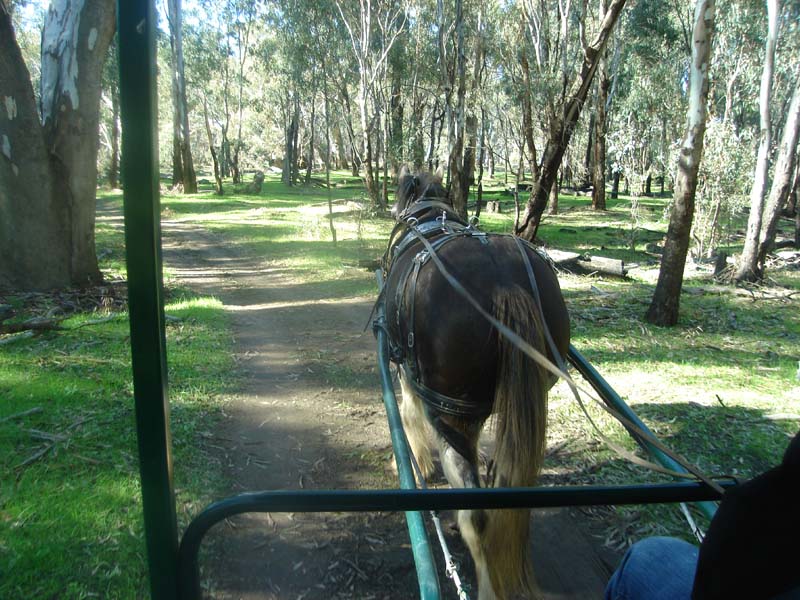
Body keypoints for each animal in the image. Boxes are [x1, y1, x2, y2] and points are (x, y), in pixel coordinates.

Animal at [381, 167, 571, 600]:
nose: (394, 214)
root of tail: (505, 284)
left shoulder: (408, 373)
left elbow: (407, 414)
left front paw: (417, 460)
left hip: (453, 415)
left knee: (478, 514)